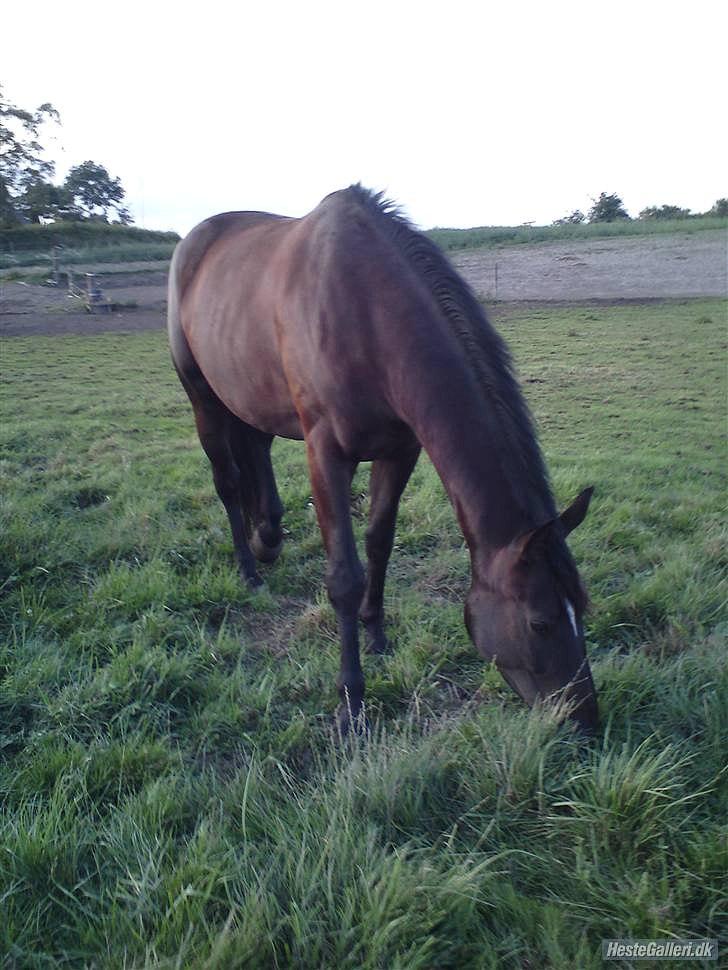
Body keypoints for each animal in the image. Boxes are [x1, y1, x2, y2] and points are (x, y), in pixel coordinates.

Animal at [169, 187, 596, 732]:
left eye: (582, 606)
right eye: (540, 622)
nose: (586, 720)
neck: (365, 313)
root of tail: (194, 240)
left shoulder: (399, 451)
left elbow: (379, 543)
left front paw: (377, 637)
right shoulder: (325, 455)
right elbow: (344, 577)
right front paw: (351, 697)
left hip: (248, 394)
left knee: (256, 453)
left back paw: (266, 537)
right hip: (201, 396)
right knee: (226, 481)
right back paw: (250, 569)